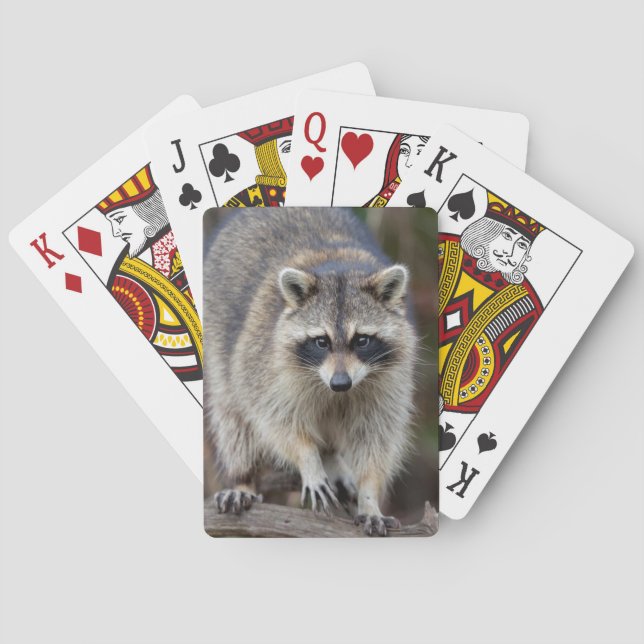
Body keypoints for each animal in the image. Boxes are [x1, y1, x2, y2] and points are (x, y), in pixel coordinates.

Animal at [203, 207, 417, 536]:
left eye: (362, 340)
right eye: (321, 341)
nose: (340, 383)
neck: (338, 267)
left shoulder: (390, 379)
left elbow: (376, 437)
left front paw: (370, 496)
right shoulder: (264, 364)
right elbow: (277, 420)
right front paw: (308, 459)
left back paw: (331, 458)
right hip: (218, 339)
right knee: (233, 419)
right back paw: (243, 479)